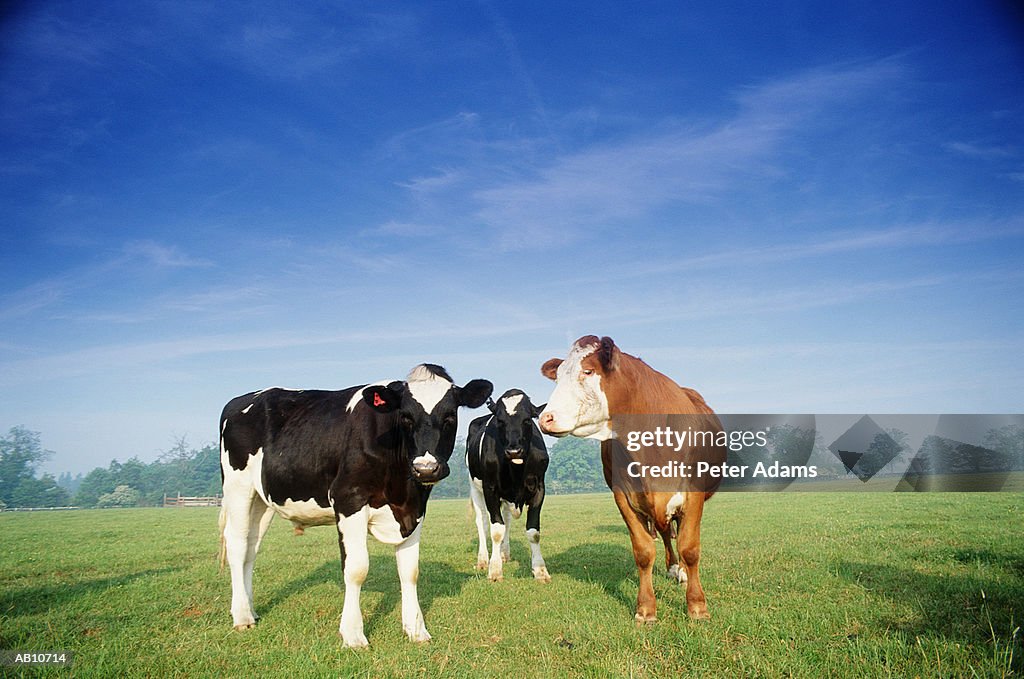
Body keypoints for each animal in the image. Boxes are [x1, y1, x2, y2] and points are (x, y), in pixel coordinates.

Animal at [219, 366, 491, 647]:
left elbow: (410, 571)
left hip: (261, 500)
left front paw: (416, 630)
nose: (426, 469)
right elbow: (357, 569)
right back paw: (241, 616)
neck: (400, 489)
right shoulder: (348, 500)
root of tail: (240, 400)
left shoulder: (415, 509)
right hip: (238, 487)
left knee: (251, 547)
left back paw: (250, 609)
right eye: (405, 417)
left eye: (450, 416)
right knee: (237, 544)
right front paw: (353, 634)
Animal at [466, 391, 548, 581]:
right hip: (475, 487)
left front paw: (540, 570)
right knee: (482, 521)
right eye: (500, 421)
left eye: (527, 419)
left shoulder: (539, 489)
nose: (513, 451)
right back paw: (483, 560)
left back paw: (504, 553)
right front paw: (495, 570)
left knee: (508, 520)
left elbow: (533, 532)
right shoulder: (490, 488)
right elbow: (496, 530)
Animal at [536, 337, 729, 622]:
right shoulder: (623, 496)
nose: (546, 418)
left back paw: (681, 571)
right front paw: (646, 609)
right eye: (558, 377)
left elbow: (690, 548)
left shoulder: (693, 494)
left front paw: (697, 606)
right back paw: (673, 568)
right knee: (664, 533)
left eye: (588, 371)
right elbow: (644, 551)